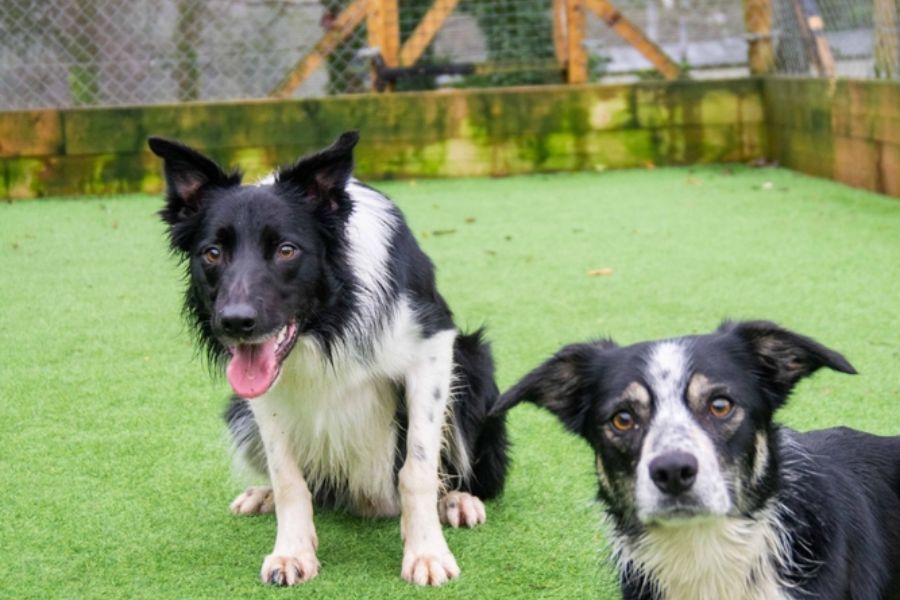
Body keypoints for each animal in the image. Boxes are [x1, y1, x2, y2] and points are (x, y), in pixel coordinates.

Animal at [151, 132, 510, 584]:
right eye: (212, 253)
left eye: (287, 250)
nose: (234, 322)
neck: (327, 323)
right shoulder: (262, 387)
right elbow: (288, 477)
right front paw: (291, 551)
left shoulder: (433, 347)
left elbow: (418, 468)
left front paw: (426, 552)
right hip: (237, 409)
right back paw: (263, 495)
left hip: (474, 367)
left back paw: (457, 501)